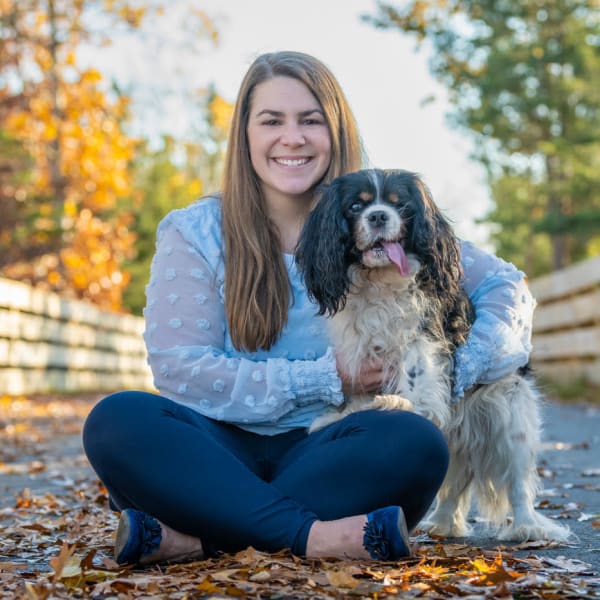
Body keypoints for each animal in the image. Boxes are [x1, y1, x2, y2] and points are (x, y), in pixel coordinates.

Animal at [296, 169, 572, 544]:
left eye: (401, 206)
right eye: (356, 206)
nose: (378, 216)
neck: (380, 281)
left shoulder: (422, 339)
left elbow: (415, 380)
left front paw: (399, 404)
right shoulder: (359, 349)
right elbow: (359, 396)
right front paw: (344, 414)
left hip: (511, 416)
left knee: (517, 483)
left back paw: (527, 526)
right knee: (455, 483)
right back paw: (443, 523)